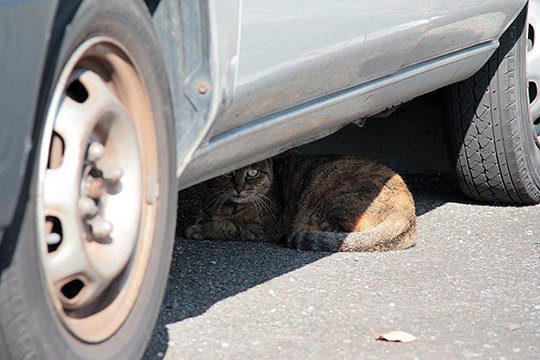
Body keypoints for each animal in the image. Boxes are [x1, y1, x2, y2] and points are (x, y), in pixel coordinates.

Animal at [186, 155, 418, 253]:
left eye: (252, 173)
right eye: (228, 173)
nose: (239, 188)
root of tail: (408, 208)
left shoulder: (259, 230)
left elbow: (225, 226)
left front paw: (198, 229)